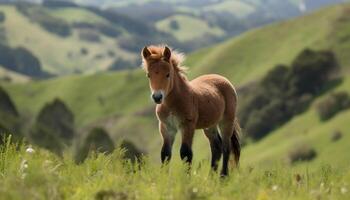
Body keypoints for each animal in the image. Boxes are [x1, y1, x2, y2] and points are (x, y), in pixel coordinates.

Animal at [140, 45, 241, 177]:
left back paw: (223, 176)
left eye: (168, 74)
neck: (173, 103)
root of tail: (223, 79)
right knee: (216, 147)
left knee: (226, 147)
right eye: (148, 75)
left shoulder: (187, 125)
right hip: (210, 126)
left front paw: (186, 179)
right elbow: (165, 153)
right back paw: (210, 177)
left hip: (226, 121)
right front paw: (164, 178)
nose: (157, 97)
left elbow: (186, 153)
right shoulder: (166, 127)